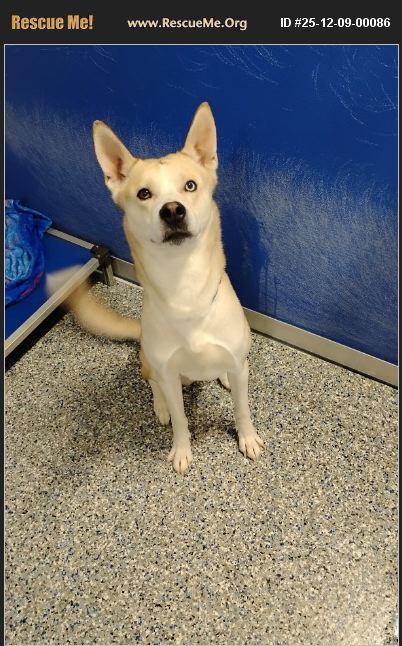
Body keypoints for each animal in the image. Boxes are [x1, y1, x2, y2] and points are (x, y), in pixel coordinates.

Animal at [60, 103, 264, 474]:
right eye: (144, 193)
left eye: (190, 185)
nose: (171, 210)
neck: (185, 287)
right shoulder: (169, 372)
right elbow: (182, 420)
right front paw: (181, 449)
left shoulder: (235, 361)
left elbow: (242, 408)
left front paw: (247, 438)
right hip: (152, 363)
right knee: (151, 379)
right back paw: (161, 406)